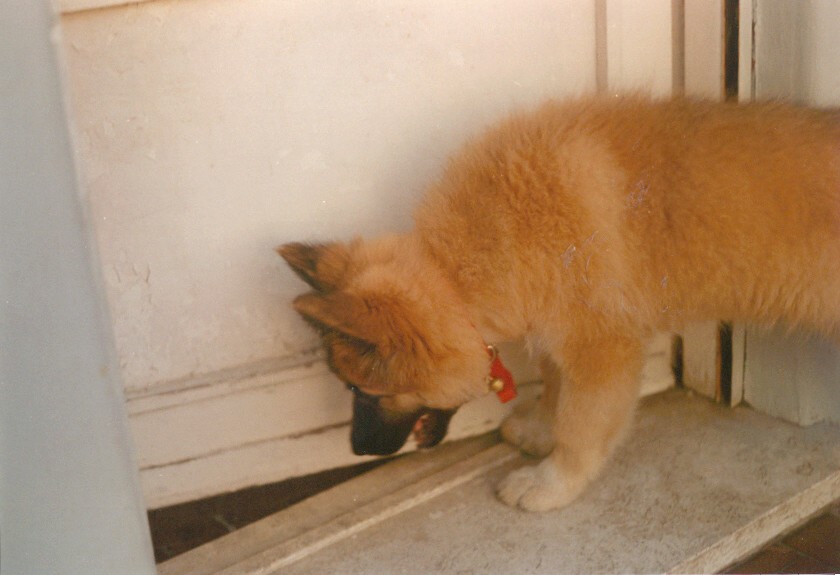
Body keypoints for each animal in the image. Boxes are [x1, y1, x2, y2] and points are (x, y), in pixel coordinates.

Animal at [279, 95, 840, 511]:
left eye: (363, 391)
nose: (355, 449)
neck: (461, 266)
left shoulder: (603, 349)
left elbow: (580, 426)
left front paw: (551, 483)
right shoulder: (554, 329)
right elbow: (554, 390)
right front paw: (539, 429)